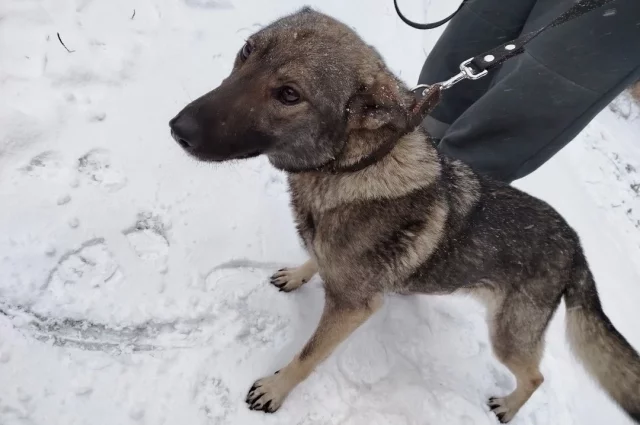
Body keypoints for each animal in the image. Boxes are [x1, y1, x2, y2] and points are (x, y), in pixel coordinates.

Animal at [170, 7, 640, 424]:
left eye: (289, 94)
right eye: (248, 50)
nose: (178, 129)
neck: (351, 168)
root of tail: (574, 244)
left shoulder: (352, 309)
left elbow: (308, 355)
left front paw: (276, 389)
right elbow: (316, 259)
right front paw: (302, 272)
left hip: (508, 334)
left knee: (536, 376)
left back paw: (508, 407)